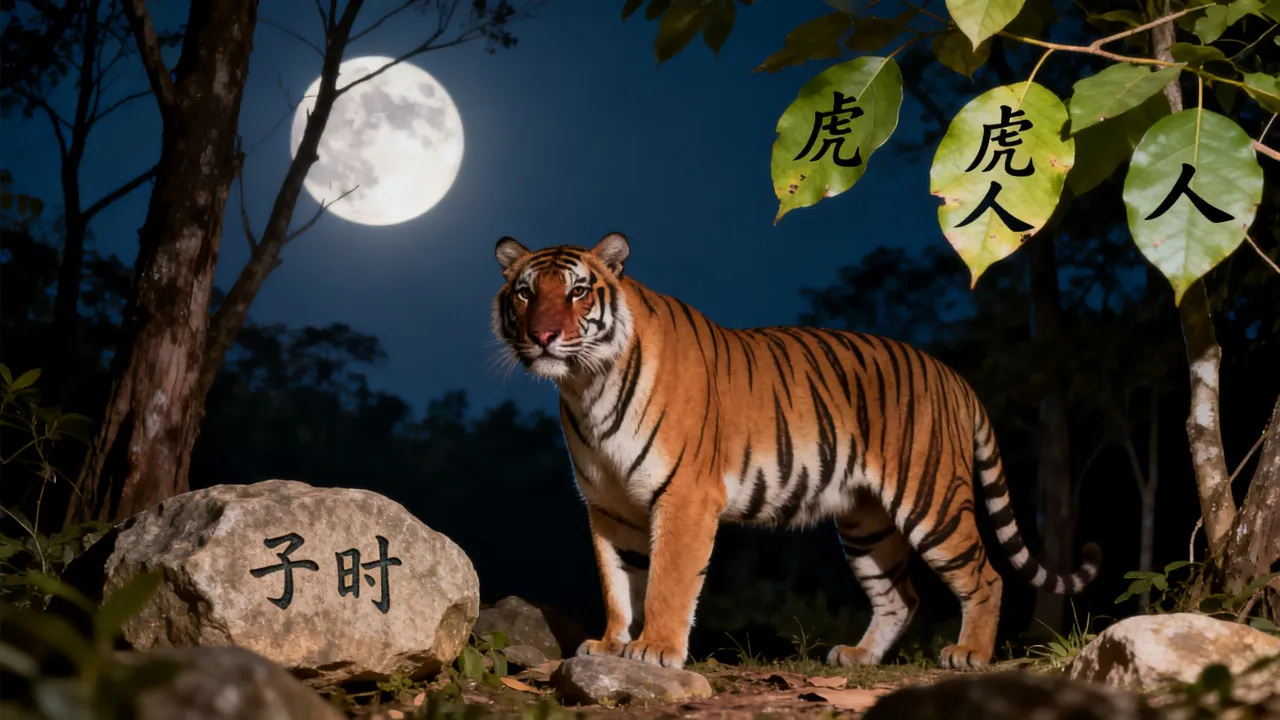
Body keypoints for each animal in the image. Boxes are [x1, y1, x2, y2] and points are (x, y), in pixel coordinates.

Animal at [490, 231, 1102, 672]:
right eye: (525, 292)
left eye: (577, 291)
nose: (543, 336)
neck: (586, 385)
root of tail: (953, 375)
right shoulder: (610, 507)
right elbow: (618, 582)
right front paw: (611, 642)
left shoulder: (684, 496)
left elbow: (667, 581)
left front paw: (656, 648)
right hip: (866, 522)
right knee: (900, 596)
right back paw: (859, 657)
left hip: (931, 500)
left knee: (986, 576)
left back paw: (969, 654)